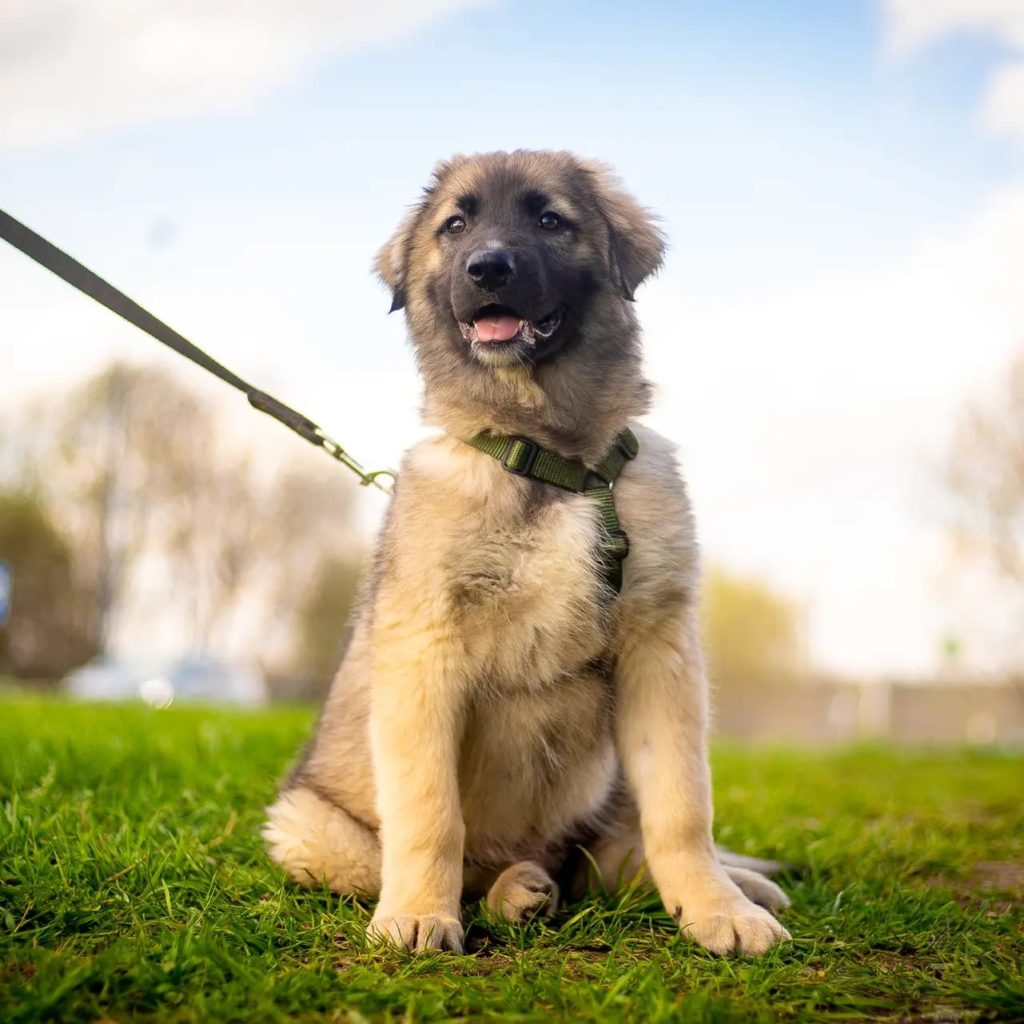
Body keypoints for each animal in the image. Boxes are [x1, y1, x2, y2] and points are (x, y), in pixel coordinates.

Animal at [266, 148, 790, 954]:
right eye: (455, 225)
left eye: (549, 219)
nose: (489, 267)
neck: (549, 460)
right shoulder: (424, 650)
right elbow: (430, 813)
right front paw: (418, 914)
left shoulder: (660, 649)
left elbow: (681, 809)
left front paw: (717, 910)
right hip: (307, 827)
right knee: (479, 865)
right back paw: (514, 890)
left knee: (612, 857)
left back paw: (731, 885)